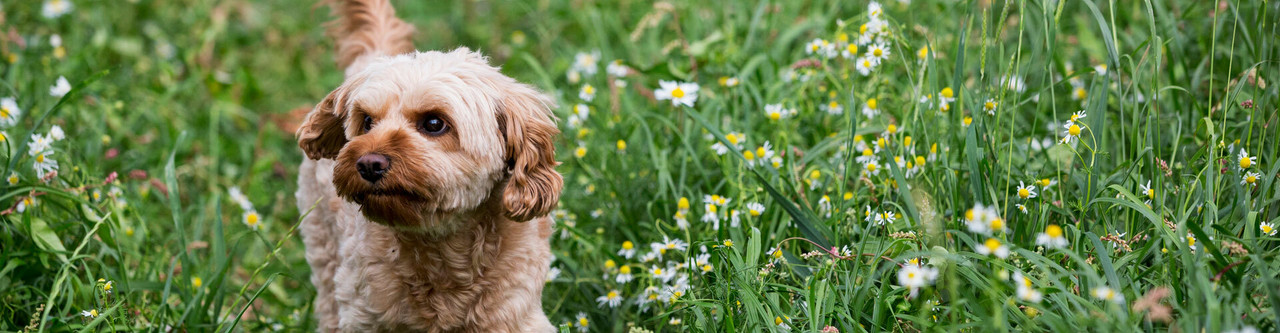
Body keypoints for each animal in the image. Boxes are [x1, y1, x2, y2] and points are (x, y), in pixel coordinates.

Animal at [296, 0, 563, 330]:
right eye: (367, 121)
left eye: (434, 123)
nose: (368, 163)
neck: (439, 245)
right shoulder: (363, 313)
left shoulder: (514, 312)